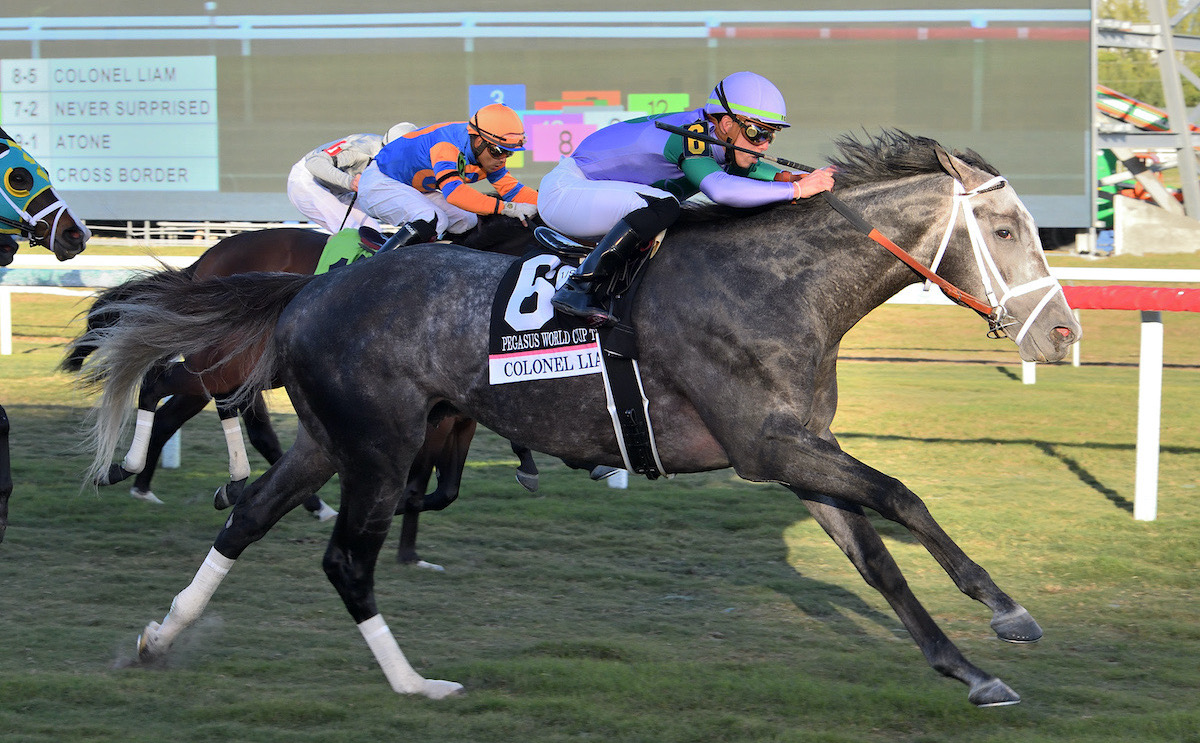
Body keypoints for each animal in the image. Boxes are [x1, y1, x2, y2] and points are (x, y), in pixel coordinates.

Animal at [77, 132, 1089, 710]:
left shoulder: (794, 450)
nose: (1064, 332)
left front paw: (966, 667)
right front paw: (1009, 613)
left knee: (249, 515)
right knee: (341, 556)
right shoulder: (769, 444)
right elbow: (904, 495)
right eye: (1007, 232)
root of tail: (310, 287)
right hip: (379, 444)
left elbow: (878, 559)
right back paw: (416, 682)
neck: (777, 282)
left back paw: (158, 636)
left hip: (336, 441)